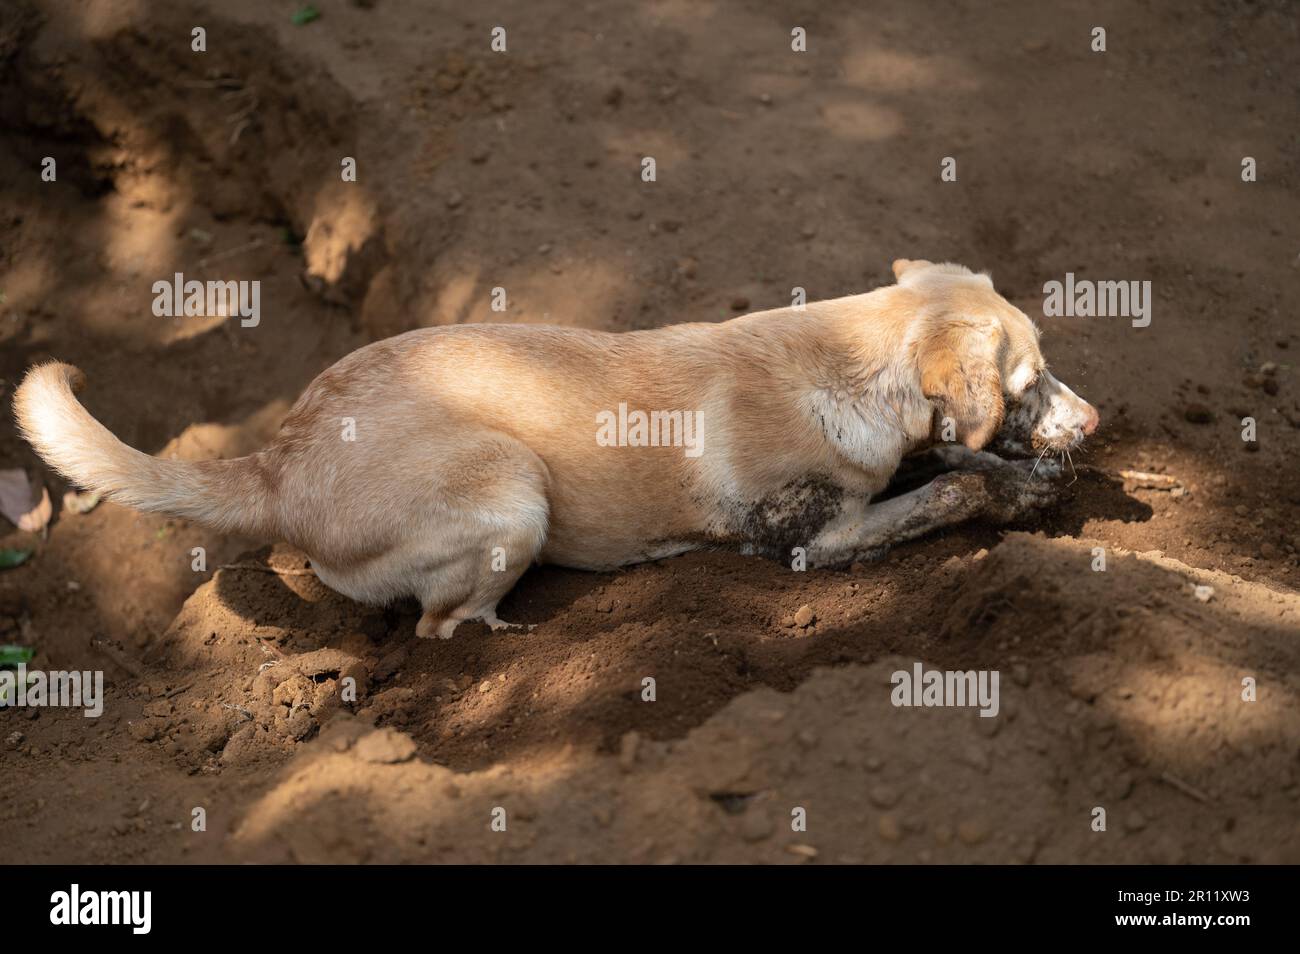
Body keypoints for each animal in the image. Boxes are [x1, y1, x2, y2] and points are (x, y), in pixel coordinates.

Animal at [20, 257, 1097, 639]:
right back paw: (516, 630)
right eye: (1030, 380)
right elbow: (937, 497)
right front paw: (1007, 491)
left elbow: (953, 463)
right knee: (440, 626)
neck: (851, 362)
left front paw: (1024, 476)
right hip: (515, 491)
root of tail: (275, 464)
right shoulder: (805, 542)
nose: (1092, 424)